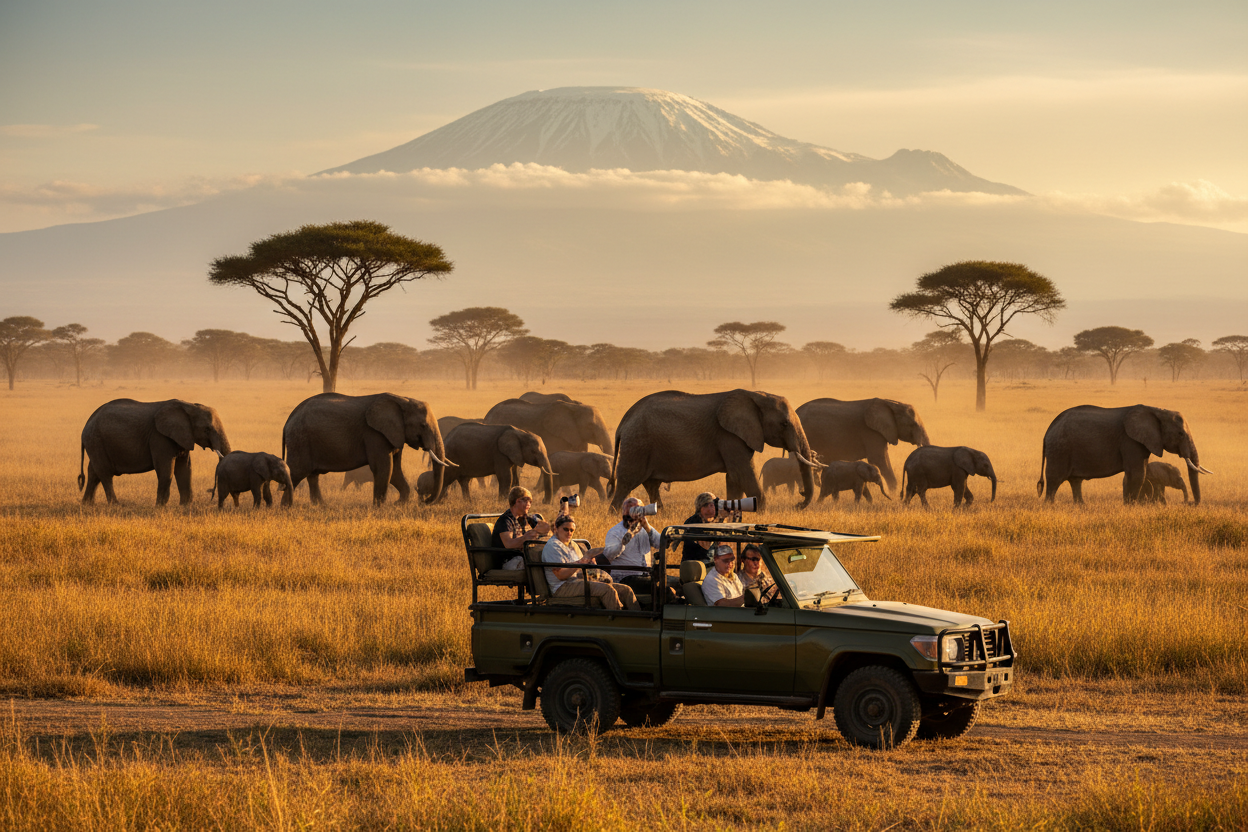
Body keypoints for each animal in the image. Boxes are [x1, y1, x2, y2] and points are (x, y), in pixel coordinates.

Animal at [78, 398, 232, 505]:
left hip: (96, 443)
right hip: (96, 440)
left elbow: (184, 469)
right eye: (207, 429)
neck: (189, 406)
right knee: (105, 473)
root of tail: (86, 424)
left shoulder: (182, 437)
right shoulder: (159, 437)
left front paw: (185, 506)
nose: (211, 493)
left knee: (94, 472)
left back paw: (87, 505)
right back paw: (115, 505)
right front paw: (160, 507)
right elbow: (166, 469)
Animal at [282, 393, 448, 507]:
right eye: (423, 425)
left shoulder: (394, 434)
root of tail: (289, 418)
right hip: (300, 440)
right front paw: (380, 508)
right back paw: (286, 508)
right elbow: (384, 468)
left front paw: (399, 504)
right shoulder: (374, 434)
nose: (425, 501)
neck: (403, 399)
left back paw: (321, 507)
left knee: (312, 475)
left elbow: (395, 470)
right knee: (297, 472)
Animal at [610, 389, 820, 511]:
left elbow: (734, 478)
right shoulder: (729, 435)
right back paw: (615, 513)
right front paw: (760, 513)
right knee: (627, 482)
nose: (799, 501)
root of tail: (624, 421)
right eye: (784, 424)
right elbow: (743, 473)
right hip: (637, 444)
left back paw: (660, 513)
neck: (757, 395)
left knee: (651, 484)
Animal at [1037, 404, 1209, 505]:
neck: (1157, 410)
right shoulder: (1130, 440)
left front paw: (1128, 505)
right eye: (1180, 434)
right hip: (1059, 449)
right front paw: (1132, 507)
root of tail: (1047, 431)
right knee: (1055, 480)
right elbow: (1137, 473)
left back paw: (1081, 506)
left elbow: (1134, 474)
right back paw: (1050, 507)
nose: (1189, 504)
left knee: (1075, 481)